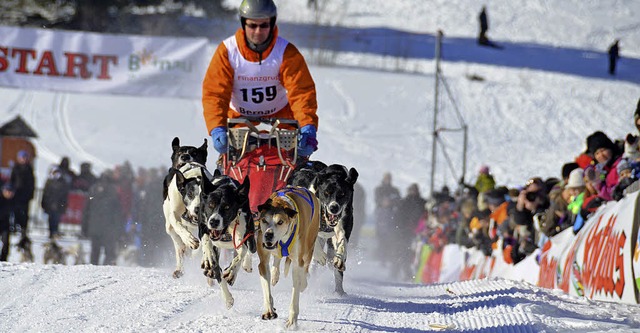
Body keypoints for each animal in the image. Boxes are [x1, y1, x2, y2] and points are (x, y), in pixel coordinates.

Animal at [198, 171, 255, 308]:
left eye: (227, 207)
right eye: (210, 205)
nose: (214, 221)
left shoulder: (242, 232)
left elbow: (242, 252)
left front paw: (231, 272)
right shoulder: (203, 227)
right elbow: (214, 263)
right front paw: (227, 298)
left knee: (250, 248)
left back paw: (244, 266)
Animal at [288, 160, 358, 294]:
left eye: (342, 194)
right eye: (326, 193)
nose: (334, 208)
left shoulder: (343, 224)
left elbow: (342, 242)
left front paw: (339, 258)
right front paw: (320, 255)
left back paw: (339, 292)